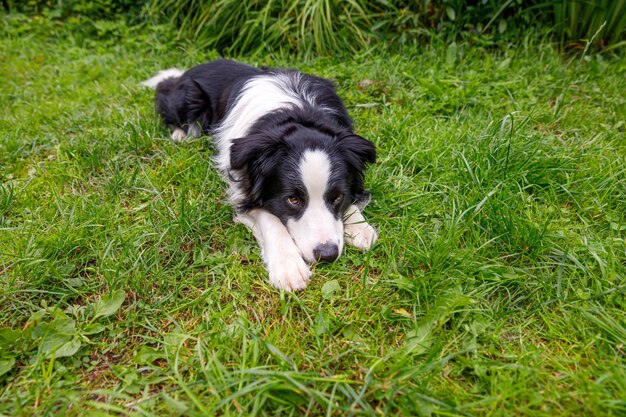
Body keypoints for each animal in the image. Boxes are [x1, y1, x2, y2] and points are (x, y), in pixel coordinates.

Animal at [141, 60, 376, 290]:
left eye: (337, 197)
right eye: (293, 200)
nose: (327, 255)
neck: (301, 116)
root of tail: (186, 71)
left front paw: (360, 227)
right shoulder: (242, 184)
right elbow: (268, 216)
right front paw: (288, 266)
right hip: (189, 100)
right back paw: (180, 134)